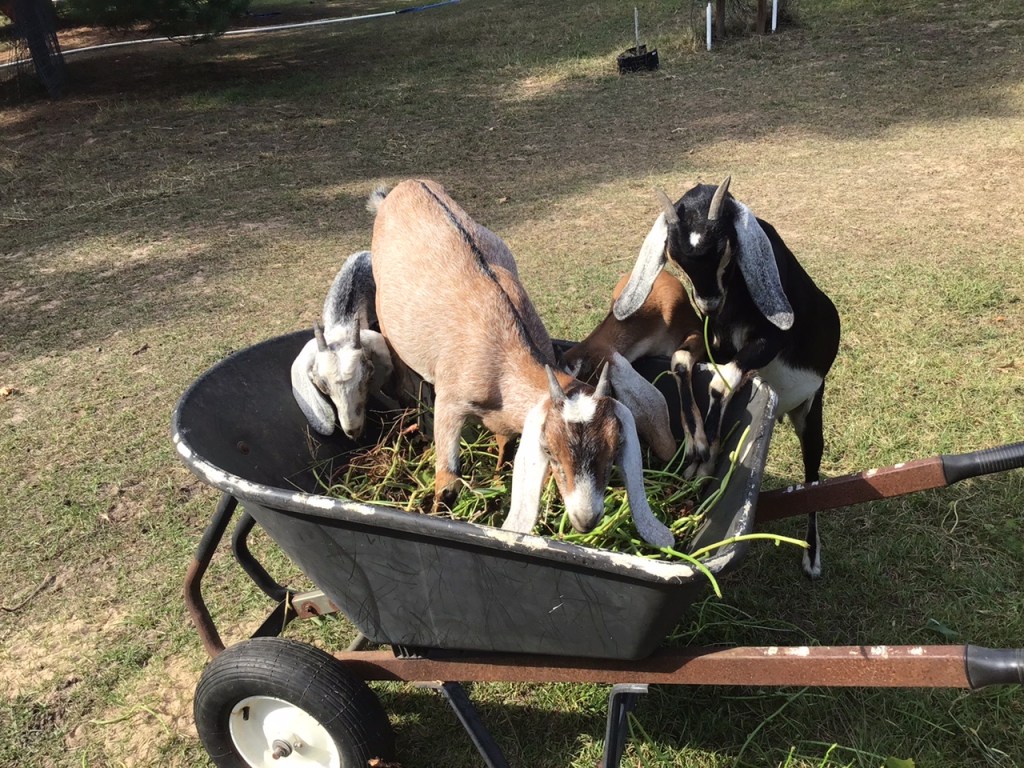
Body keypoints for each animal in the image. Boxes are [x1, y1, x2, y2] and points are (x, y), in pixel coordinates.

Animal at [369, 179, 673, 548]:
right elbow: (448, 480)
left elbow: (506, 443)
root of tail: (406, 186)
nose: (586, 520)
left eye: (615, 449)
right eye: (550, 452)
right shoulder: (451, 403)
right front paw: (438, 515)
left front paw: (498, 478)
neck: (504, 361)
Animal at [614, 177, 841, 577]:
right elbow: (682, 361)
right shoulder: (713, 343)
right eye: (674, 257)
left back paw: (812, 556)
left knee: (813, 473)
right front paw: (696, 447)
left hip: (810, 410)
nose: (709, 303)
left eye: (724, 248)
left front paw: (706, 459)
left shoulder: (769, 341)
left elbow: (722, 384)